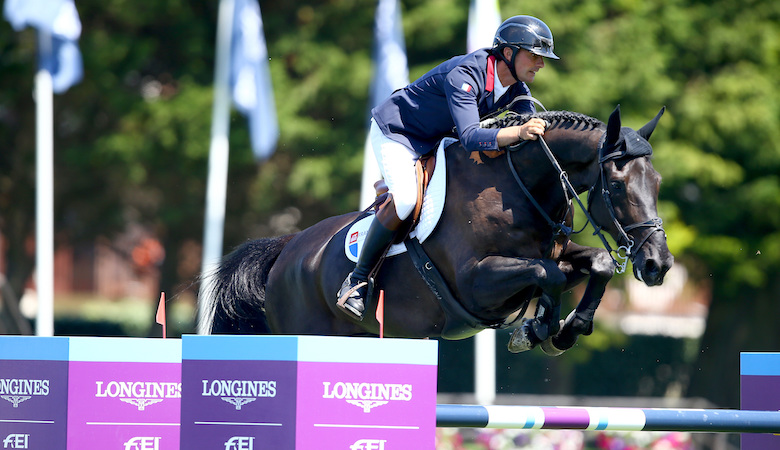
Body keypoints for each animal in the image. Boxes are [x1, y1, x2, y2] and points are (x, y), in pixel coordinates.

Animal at [198, 105, 672, 356]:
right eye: (616, 185)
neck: (519, 188)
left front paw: (566, 330)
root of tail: (288, 249)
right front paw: (537, 329)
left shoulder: (554, 253)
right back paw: (354, 291)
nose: (658, 265)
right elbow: (547, 274)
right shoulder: (477, 281)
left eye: (658, 181)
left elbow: (595, 264)